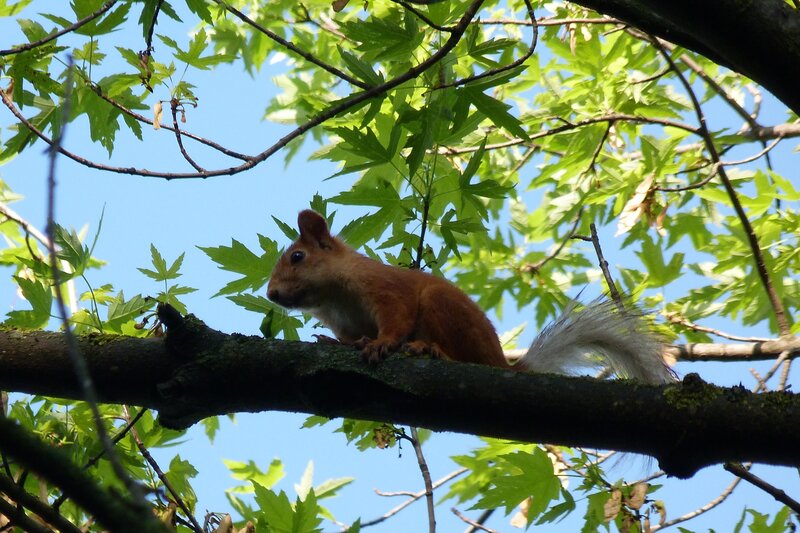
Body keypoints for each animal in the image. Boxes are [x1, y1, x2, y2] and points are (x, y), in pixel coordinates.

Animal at [267, 209, 674, 384]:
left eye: (297, 257)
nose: (270, 294)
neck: (333, 298)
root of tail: (501, 364)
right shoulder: (344, 322)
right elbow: (348, 337)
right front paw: (330, 341)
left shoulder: (386, 289)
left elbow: (396, 319)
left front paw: (381, 344)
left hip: (442, 308)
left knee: (464, 358)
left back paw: (429, 349)